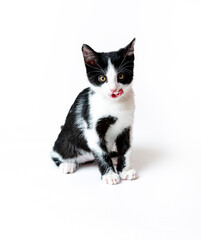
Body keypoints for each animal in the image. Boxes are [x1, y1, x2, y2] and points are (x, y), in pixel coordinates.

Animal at [51, 39, 137, 186]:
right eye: (102, 78)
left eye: (121, 76)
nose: (113, 89)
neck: (114, 103)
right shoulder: (92, 127)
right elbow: (102, 153)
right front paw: (110, 175)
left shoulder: (126, 126)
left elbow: (126, 149)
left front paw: (125, 170)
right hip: (63, 140)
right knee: (56, 154)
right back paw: (67, 164)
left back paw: (114, 157)